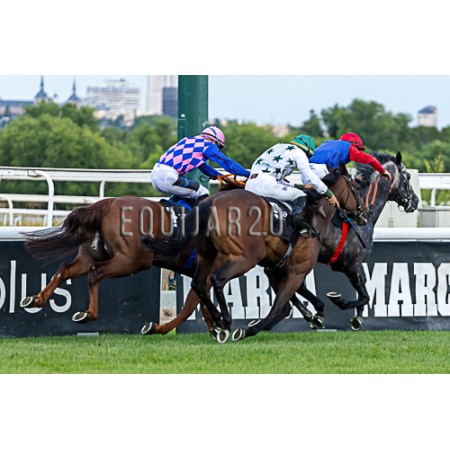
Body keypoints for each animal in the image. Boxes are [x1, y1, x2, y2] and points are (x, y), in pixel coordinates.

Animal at [21, 175, 244, 335]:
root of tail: (108, 204)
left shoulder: (201, 275)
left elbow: (200, 305)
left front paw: (216, 328)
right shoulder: (207, 272)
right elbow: (189, 307)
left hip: (92, 255)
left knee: (65, 269)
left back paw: (36, 300)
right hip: (132, 260)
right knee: (96, 273)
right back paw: (88, 314)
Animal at [142, 163, 367, 342]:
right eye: (356, 187)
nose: (364, 213)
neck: (313, 216)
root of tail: (209, 203)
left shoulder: (276, 269)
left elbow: (302, 301)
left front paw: (317, 315)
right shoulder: (297, 270)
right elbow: (280, 308)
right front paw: (248, 329)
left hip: (208, 255)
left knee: (199, 284)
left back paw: (217, 320)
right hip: (246, 257)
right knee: (217, 280)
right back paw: (225, 321)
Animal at [295, 151, 419, 330]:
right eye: (408, 176)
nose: (415, 201)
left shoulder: (352, 266)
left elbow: (364, 293)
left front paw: (358, 316)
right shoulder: (353, 264)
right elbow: (365, 296)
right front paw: (342, 303)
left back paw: (310, 314)